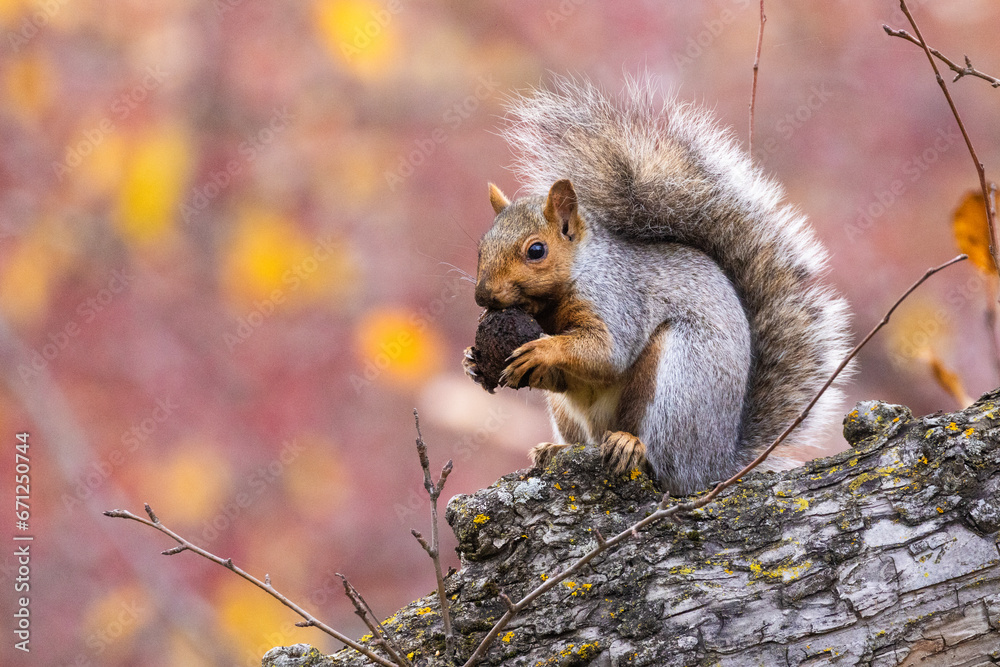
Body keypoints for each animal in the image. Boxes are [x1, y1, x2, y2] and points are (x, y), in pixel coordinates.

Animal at [463, 78, 852, 495]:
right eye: (481, 248)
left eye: (536, 250)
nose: (482, 296)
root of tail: (717, 466)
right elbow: (566, 376)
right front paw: (473, 361)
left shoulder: (618, 300)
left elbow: (607, 352)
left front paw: (543, 349)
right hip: (571, 414)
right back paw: (555, 450)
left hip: (679, 382)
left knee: (663, 460)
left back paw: (632, 446)